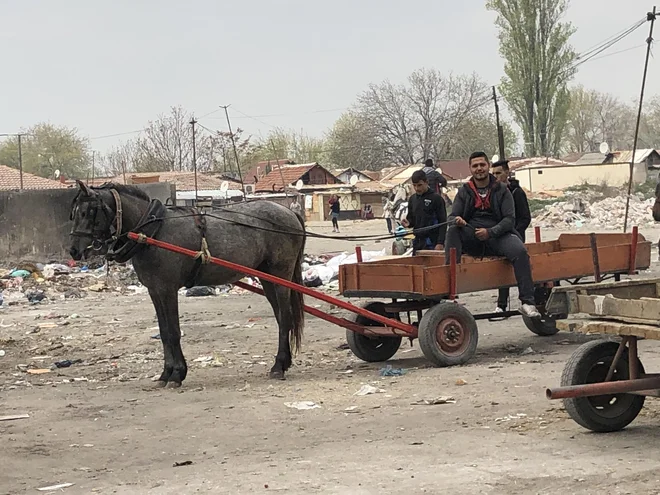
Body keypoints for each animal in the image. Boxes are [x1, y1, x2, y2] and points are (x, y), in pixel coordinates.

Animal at [68, 180, 306, 390]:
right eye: (74, 212)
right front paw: (166, 374)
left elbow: (174, 331)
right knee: (280, 316)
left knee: (285, 317)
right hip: (267, 277)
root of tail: (290, 212)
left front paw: (177, 374)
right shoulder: (155, 291)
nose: (74, 250)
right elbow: (164, 332)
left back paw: (278, 366)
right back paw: (283, 362)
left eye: (89, 211)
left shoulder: (167, 289)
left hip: (281, 274)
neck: (152, 233)